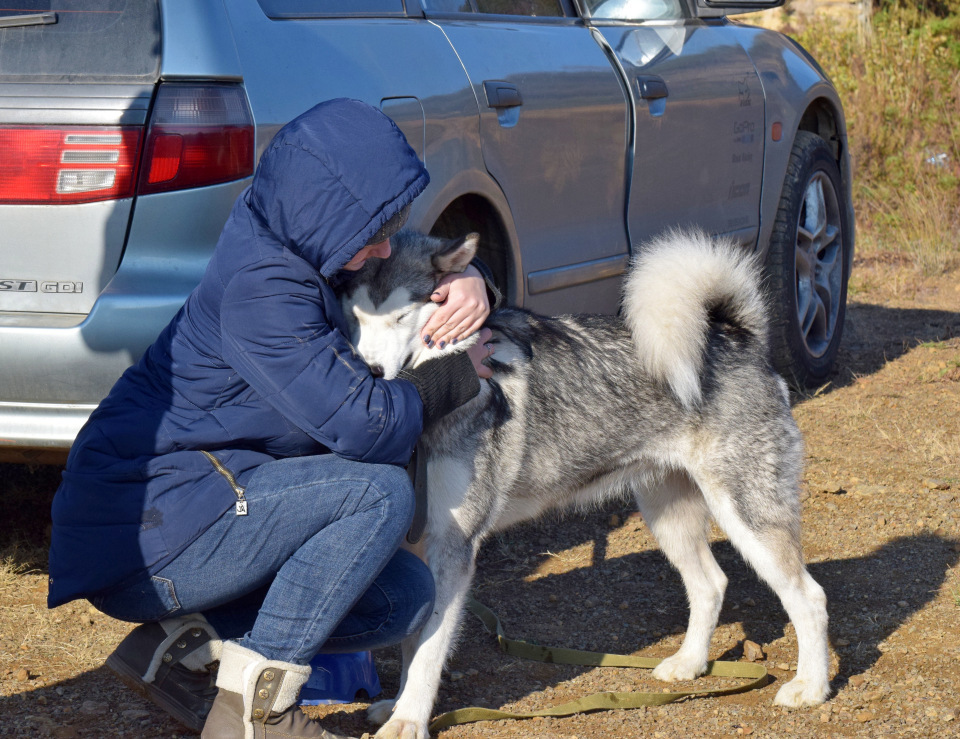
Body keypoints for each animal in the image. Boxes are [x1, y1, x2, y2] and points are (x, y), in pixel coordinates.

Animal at [342, 228, 828, 736]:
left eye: (401, 317)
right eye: (355, 317)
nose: (370, 373)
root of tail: (738, 335)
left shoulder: (452, 549)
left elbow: (428, 649)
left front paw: (408, 719)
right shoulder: (420, 548)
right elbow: (411, 643)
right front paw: (396, 705)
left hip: (747, 516)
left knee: (809, 597)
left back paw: (810, 688)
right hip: (667, 515)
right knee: (711, 584)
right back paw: (690, 665)